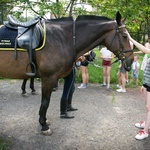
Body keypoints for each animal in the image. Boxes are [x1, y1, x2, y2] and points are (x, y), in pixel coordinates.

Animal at [0, 11, 134, 135]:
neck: (64, 38)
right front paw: (44, 125)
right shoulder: (48, 78)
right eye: (125, 35)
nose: (131, 60)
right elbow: (45, 102)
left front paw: (44, 120)